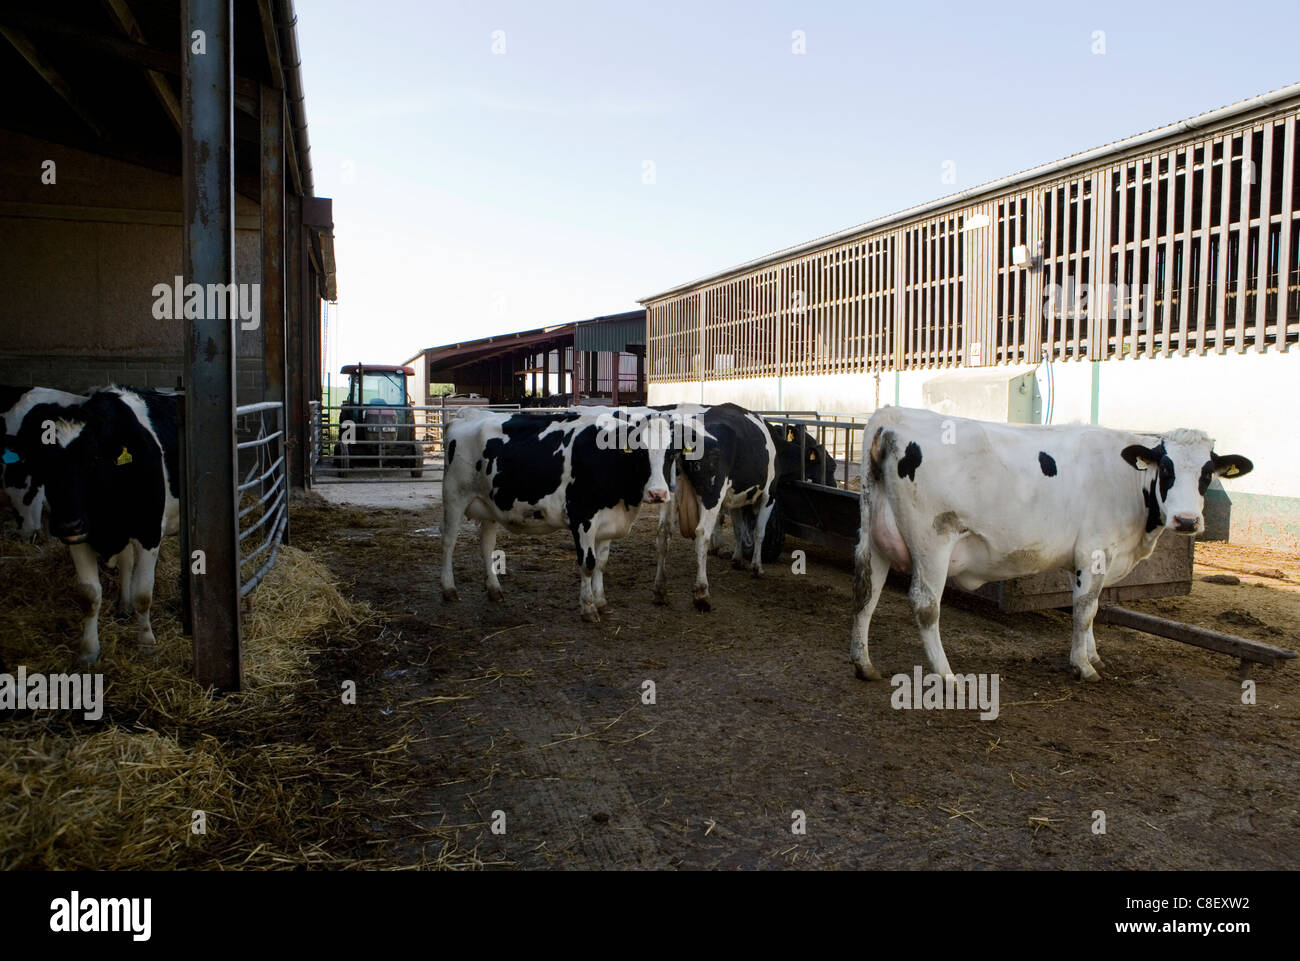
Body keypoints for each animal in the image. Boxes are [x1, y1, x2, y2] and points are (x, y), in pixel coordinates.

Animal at [11, 386, 180, 664]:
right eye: (43, 463)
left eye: (93, 458)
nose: (67, 524)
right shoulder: (79, 537)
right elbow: (90, 595)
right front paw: (89, 651)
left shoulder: (149, 531)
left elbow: (143, 593)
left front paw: (146, 642)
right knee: (126, 562)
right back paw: (123, 605)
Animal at [440, 405, 677, 621]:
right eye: (640, 452)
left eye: (670, 454)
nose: (658, 493)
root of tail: (469, 413)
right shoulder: (582, 517)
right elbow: (588, 564)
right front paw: (588, 608)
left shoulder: (608, 521)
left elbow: (601, 563)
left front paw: (601, 602)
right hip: (454, 496)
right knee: (448, 542)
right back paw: (449, 589)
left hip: (489, 505)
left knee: (487, 545)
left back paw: (494, 590)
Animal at [651, 403, 836, 610]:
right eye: (830, 467)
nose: (834, 486)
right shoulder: (768, 495)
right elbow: (759, 532)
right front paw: (756, 567)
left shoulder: (734, 498)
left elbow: (739, 529)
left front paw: (737, 559)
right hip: (711, 496)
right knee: (701, 535)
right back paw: (702, 593)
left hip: (668, 496)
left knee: (663, 534)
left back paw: (659, 590)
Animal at [849, 406, 1253, 682]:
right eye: (1166, 468)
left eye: (1207, 474)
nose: (1186, 521)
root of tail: (891, 415)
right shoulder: (1094, 551)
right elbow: (1085, 609)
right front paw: (1084, 666)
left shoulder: (1091, 558)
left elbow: (1091, 606)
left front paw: (1093, 654)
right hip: (933, 540)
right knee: (925, 605)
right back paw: (947, 675)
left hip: (876, 533)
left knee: (867, 591)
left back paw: (864, 664)